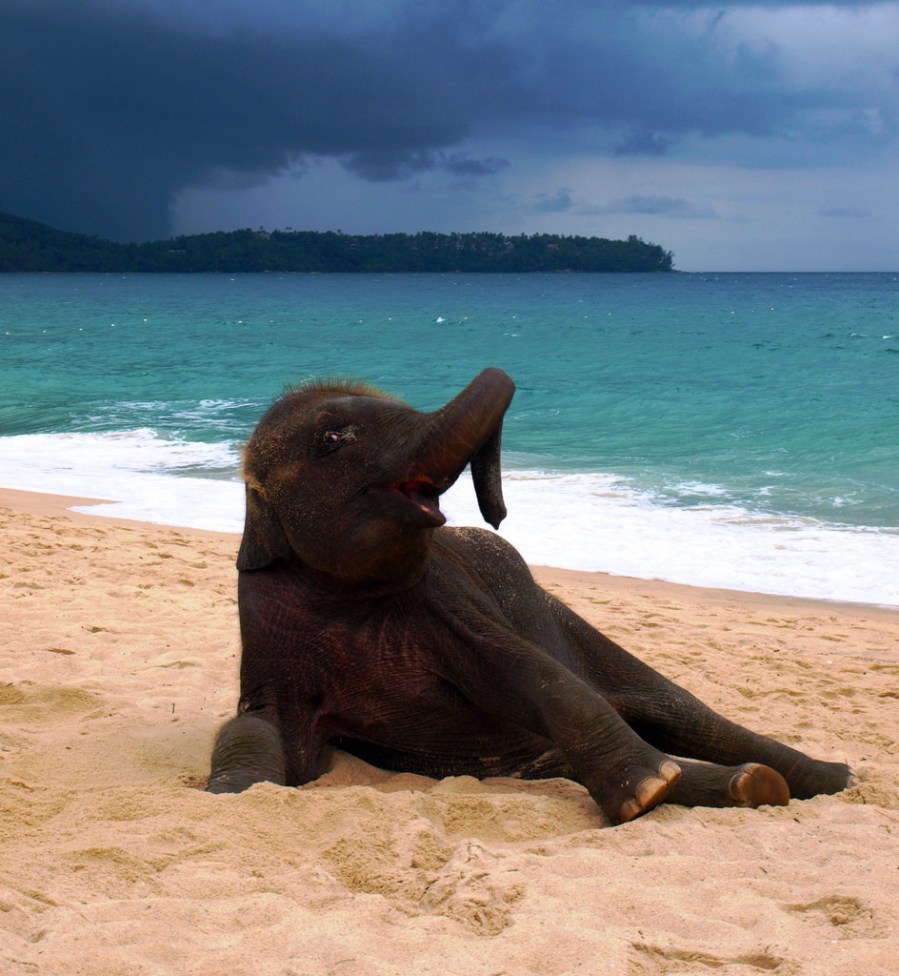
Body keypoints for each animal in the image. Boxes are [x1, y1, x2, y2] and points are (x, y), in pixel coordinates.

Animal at [206, 367, 854, 825]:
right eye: (333, 438)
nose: (497, 515)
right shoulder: (265, 632)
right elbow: (257, 726)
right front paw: (238, 793)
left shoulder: (450, 603)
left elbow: (531, 674)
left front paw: (646, 791)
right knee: (568, 763)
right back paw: (751, 784)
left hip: (568, 621)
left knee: (690, 716)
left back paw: (828, 779)